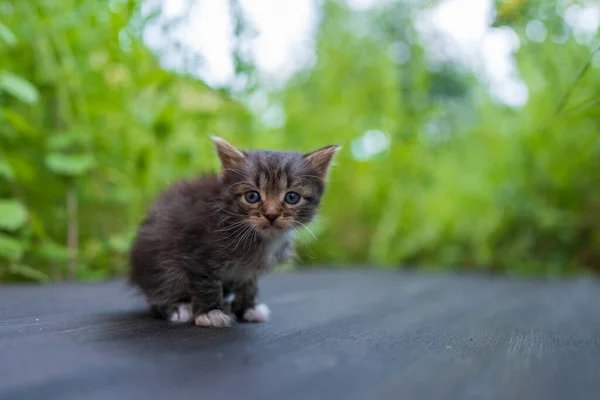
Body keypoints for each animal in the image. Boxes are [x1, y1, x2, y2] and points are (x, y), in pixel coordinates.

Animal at [128, 136, 338, 326]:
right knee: (159, 291)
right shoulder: (198, 253)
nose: (271, 215)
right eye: (252, 196)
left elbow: (249, 285)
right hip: (158, 260)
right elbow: (208, 283)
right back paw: (179, 308)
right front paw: (210, 313)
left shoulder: (249, 271)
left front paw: (248, 309)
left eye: (292, 197)